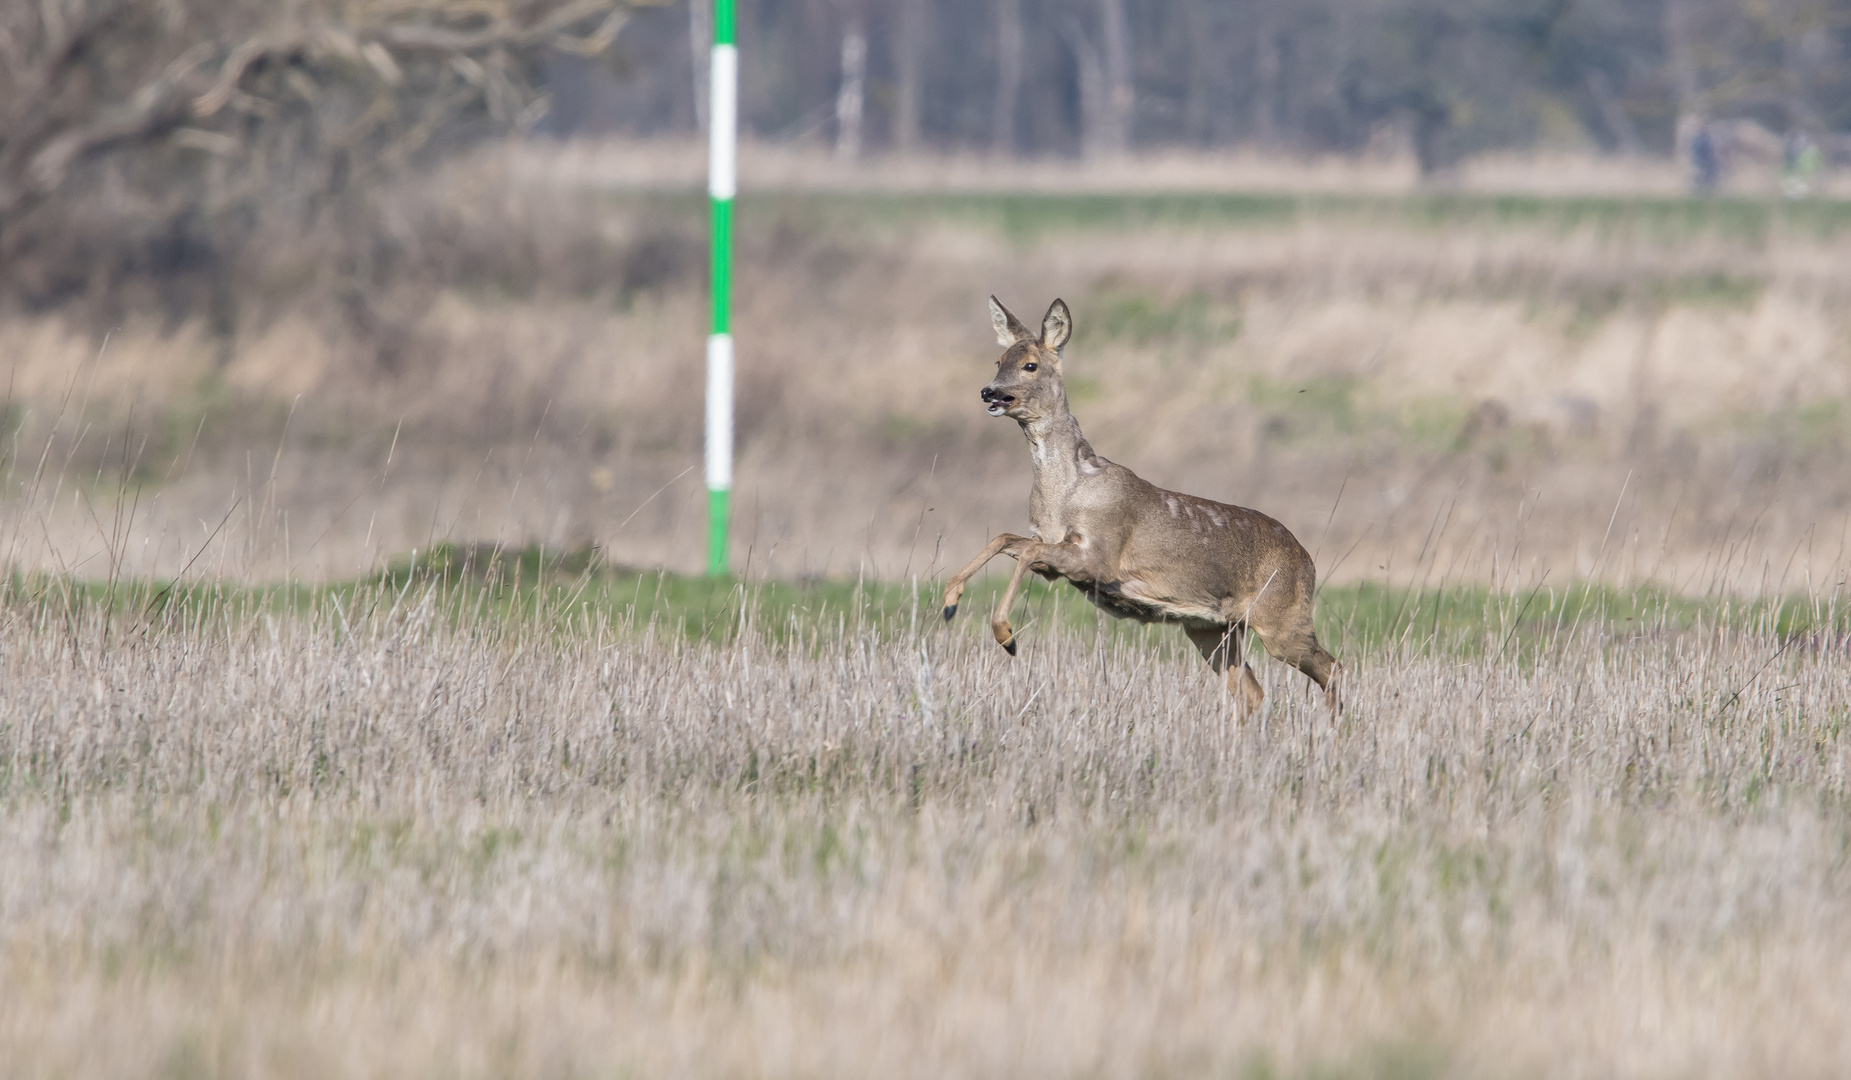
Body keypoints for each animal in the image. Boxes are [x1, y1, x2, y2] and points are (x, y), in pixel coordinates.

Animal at [947, 296, 1340, 718]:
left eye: (1030, 365)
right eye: (998, 359)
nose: (989, 393)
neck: (1065, 493)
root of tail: (1307, 560)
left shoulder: (1102, 556)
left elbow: (1026, 550)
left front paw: (1005, 635)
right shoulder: (1054, 555)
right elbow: (1006, 539)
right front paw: (950, 601)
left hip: (1281, 618)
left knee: (1332, 666)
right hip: (1210, 626)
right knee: (1253, 690)